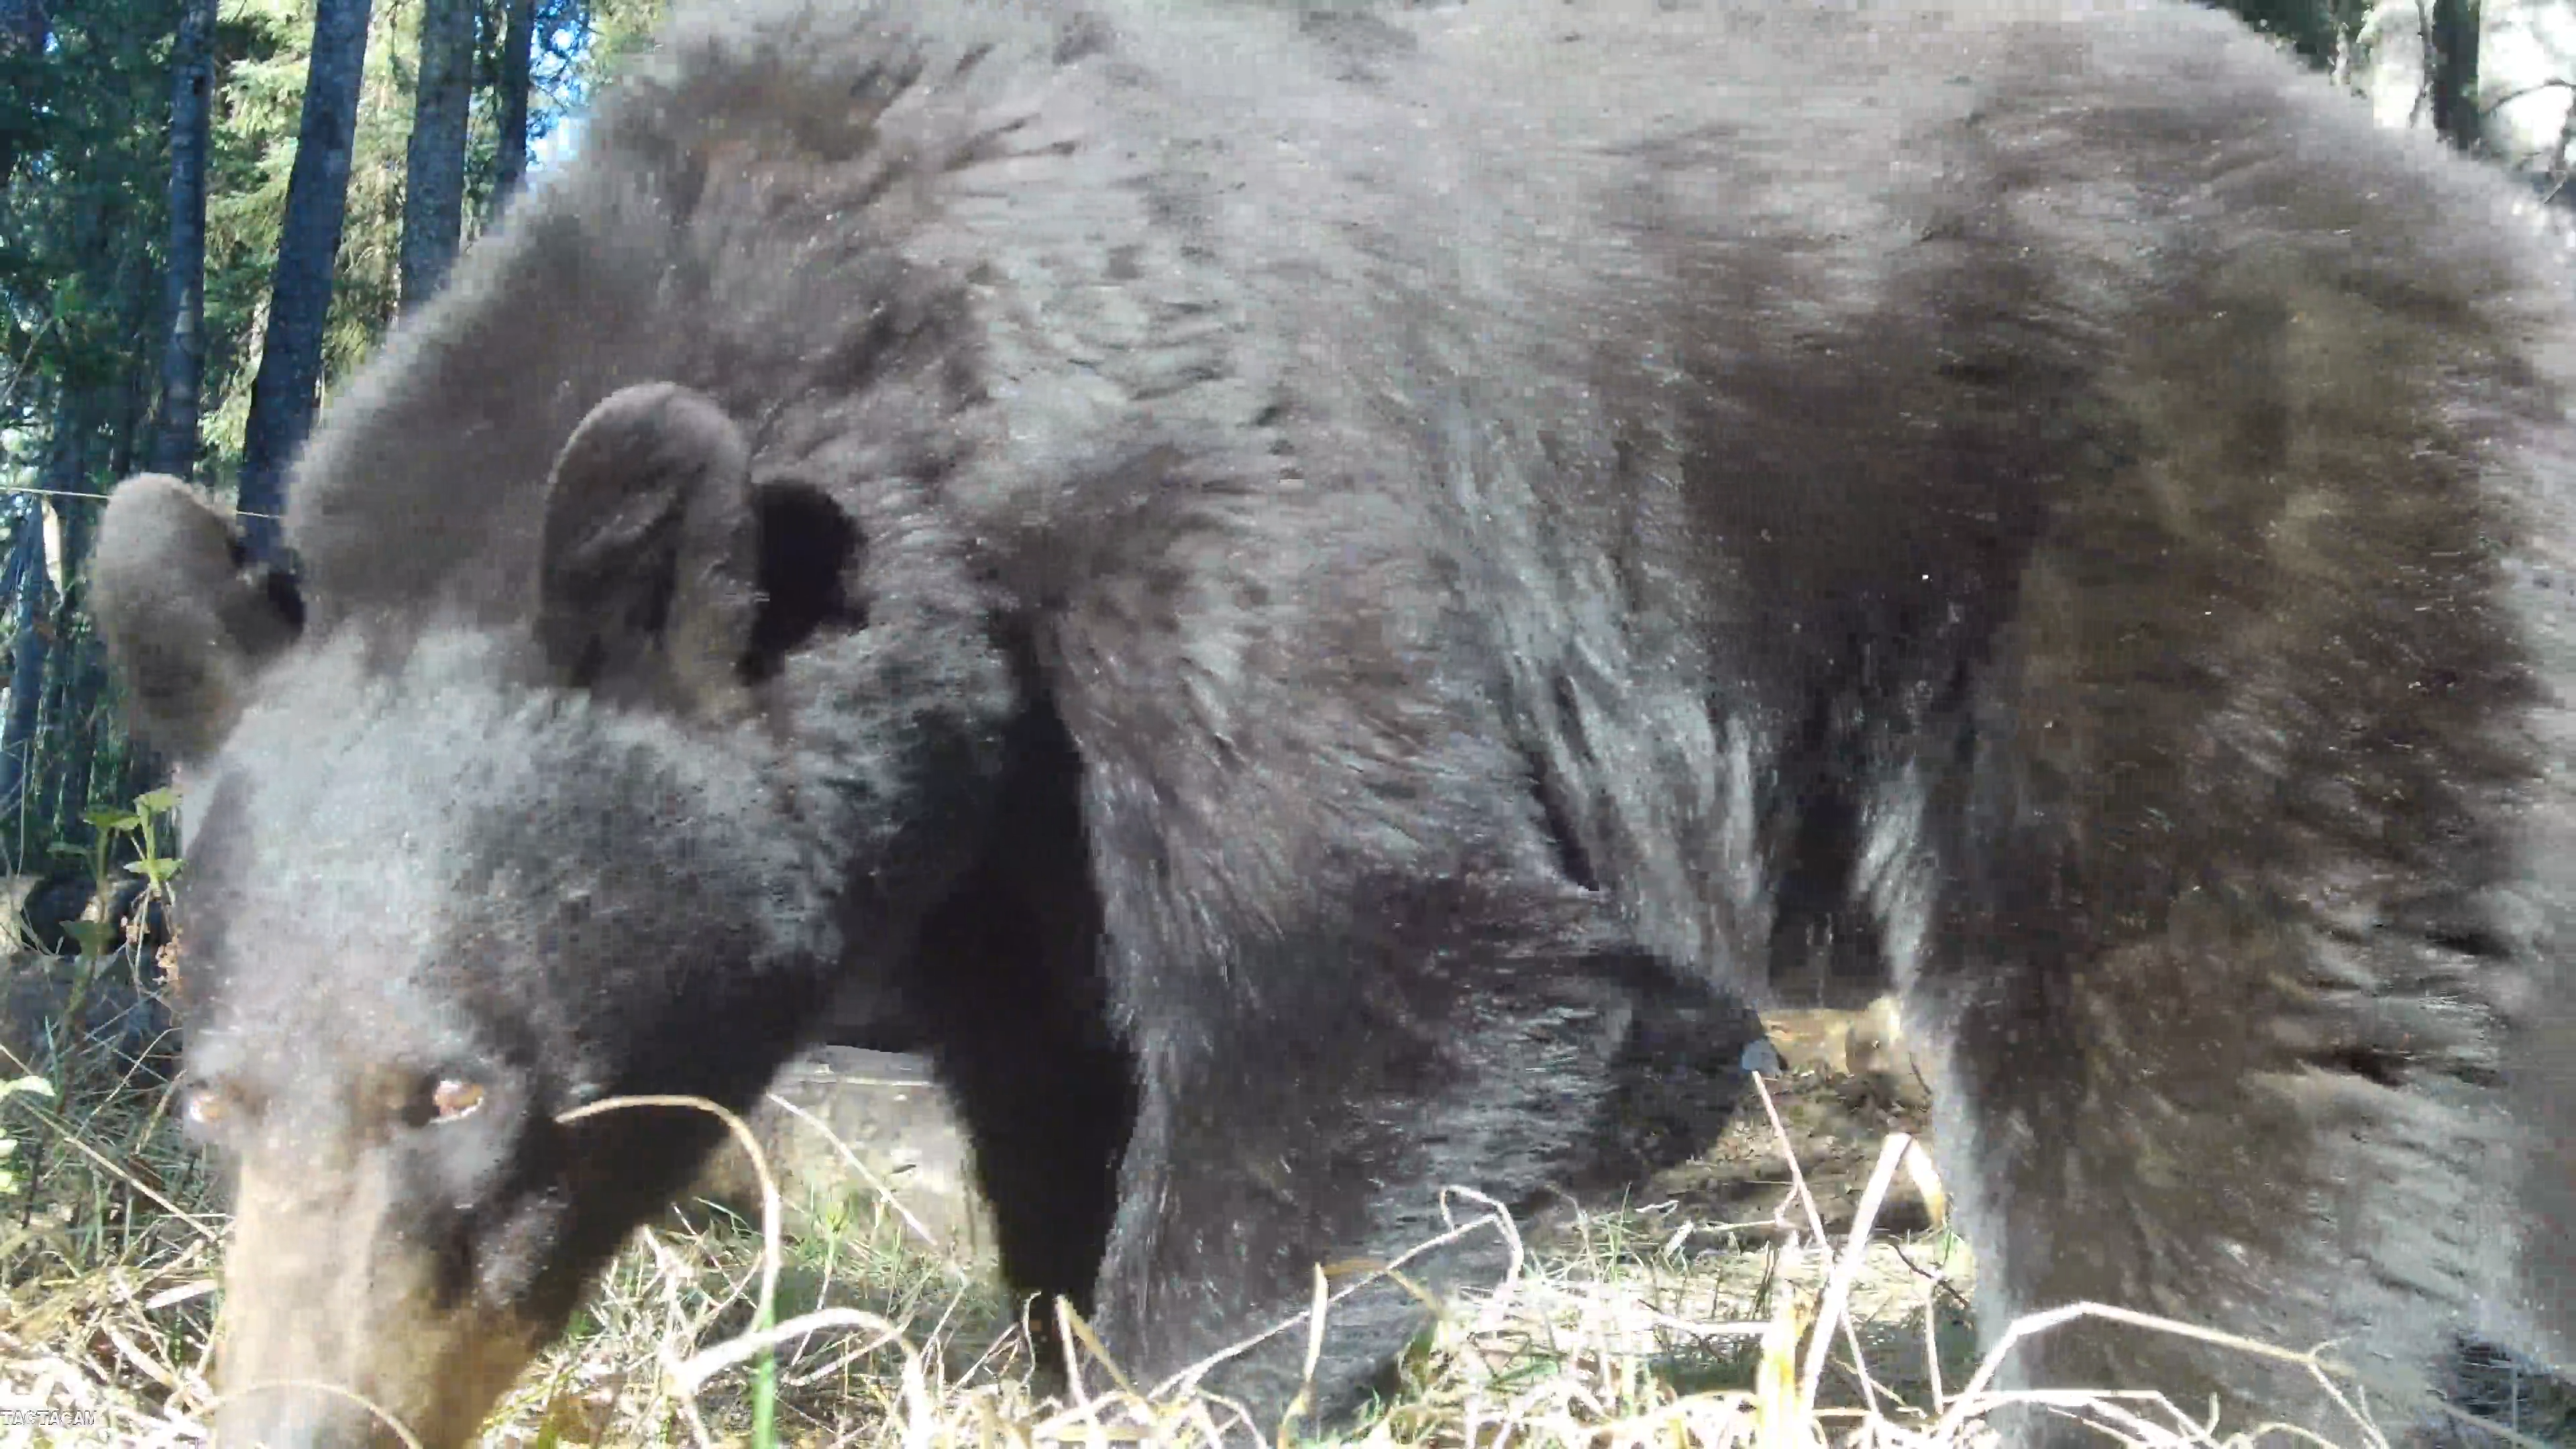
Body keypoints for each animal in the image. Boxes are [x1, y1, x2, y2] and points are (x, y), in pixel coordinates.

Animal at [89, 0, 2576, 1444]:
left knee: (2199, 1076)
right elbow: (1069, 1080)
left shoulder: (1232, 492)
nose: (300, 1417)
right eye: (214, 1104)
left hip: (2235, 561)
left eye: (453, 1087)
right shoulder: (1012, 829)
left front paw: (1163, 1378)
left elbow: (1407, 969)